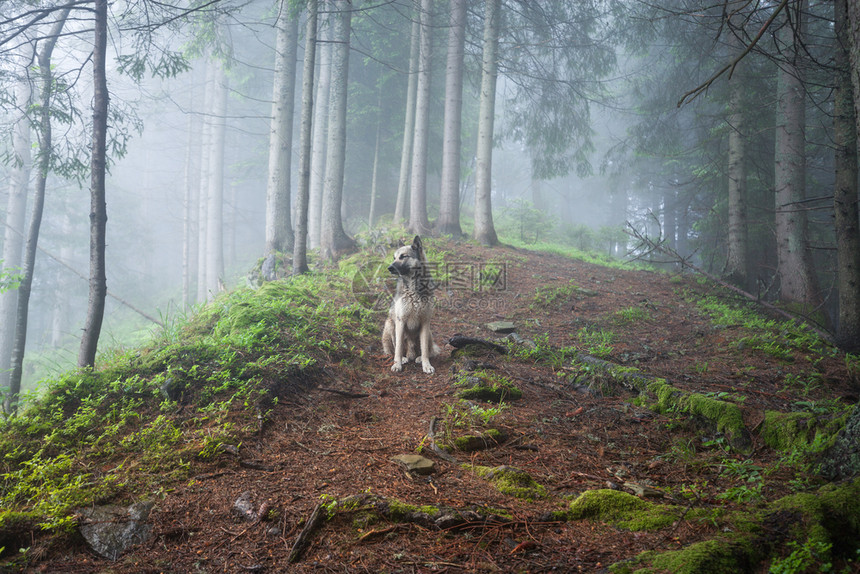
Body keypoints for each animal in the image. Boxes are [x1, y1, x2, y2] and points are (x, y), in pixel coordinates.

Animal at [382, 236, 440, 376]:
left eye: (403, 256)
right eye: (394, 257)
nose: (389, 268)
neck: (413, 288)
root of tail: (411, 353)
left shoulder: (425, 322)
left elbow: (425, 349)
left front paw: (426, 365)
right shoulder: (400, 321)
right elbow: (398, 347)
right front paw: (397, 365)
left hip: (429, 332)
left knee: (429, 350)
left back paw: (418, 358)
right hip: (390, 324)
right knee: (395, 348)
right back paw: (403, 358)